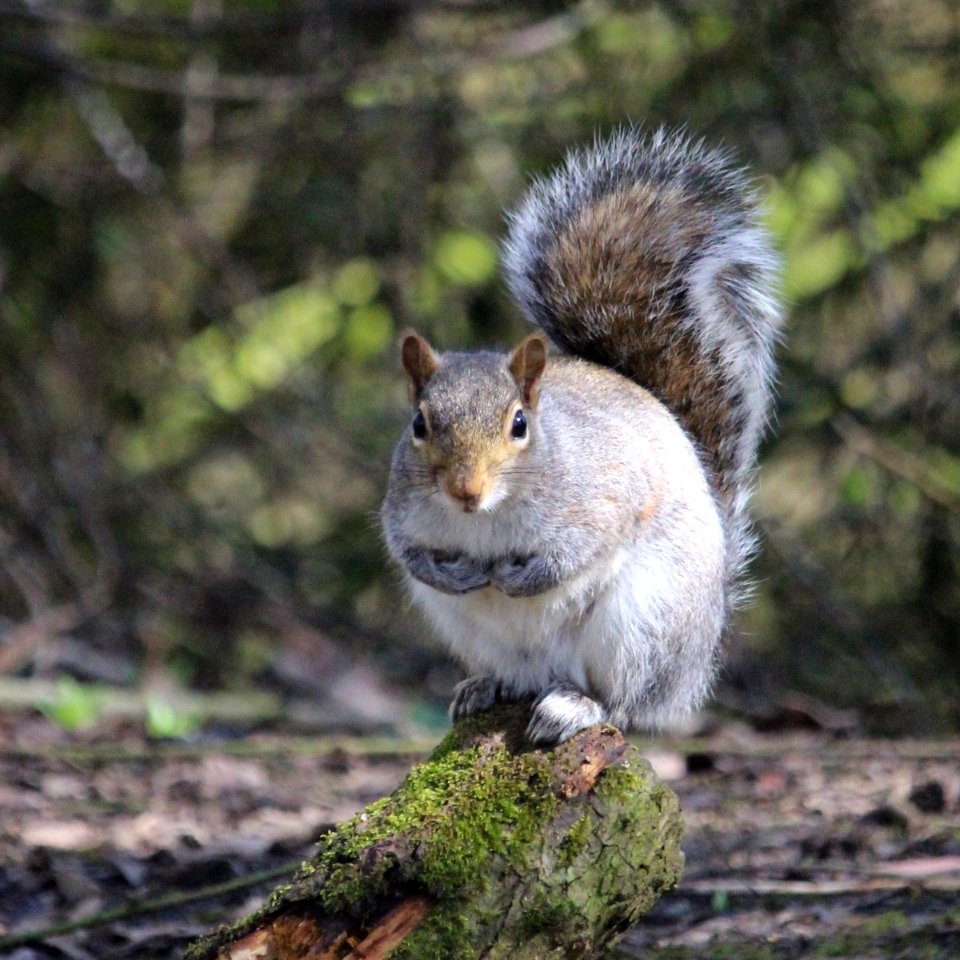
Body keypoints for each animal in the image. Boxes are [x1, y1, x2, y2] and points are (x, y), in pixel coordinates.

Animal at [378, 127, 784, 744]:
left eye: (519, 424)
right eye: (420, 424)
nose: (465, 491)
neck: (486, 520)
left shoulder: (602, 496)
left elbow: (582, 548)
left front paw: (521, 577)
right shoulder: (401, 509)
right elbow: (404, 551)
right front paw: (454, 572)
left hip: (643, 622)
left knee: (626, 703)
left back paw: (576, 706)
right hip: (475, 635)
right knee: (512, 675)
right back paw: (482, 688)